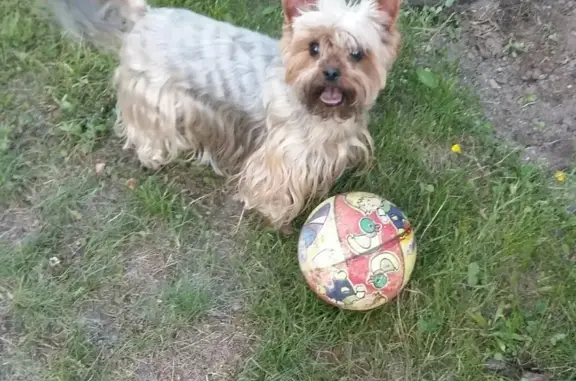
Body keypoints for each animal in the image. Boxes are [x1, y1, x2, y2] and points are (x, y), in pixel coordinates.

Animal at [49, 0, 400, 230]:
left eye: (357, 54)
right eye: (313, 47)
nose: (331, 72)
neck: (323, 113)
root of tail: (145, 15)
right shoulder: (283, 155)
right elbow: (272, 188)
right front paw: (274, 214)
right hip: (150, 92)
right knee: (145, 128)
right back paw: (153, 155)